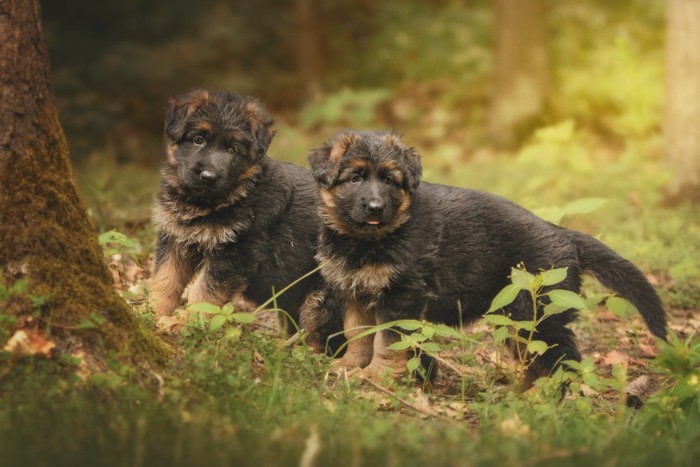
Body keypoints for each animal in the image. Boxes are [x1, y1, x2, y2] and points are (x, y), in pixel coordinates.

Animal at [151, 88, 342, 344]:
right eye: (198, 139)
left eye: (232, 149)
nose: (208, 176)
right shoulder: (175, 238)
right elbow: (164, 281)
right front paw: (150, 313)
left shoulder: (237, 253)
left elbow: (203, 294)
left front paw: (186, 325)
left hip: (323, 296)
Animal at [300, 130, 668, 386]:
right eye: (355, 178)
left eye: (390, 180)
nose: (376, 208)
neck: (368, 240)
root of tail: (564, 234)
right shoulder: (353, 292)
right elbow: (357, 334)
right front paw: (349, 366)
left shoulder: (402, 297)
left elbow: (387, 341)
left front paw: (377, 376)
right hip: (519, 320)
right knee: (535, 359)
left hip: (537, 315)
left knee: (561, 359)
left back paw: (544, 399)